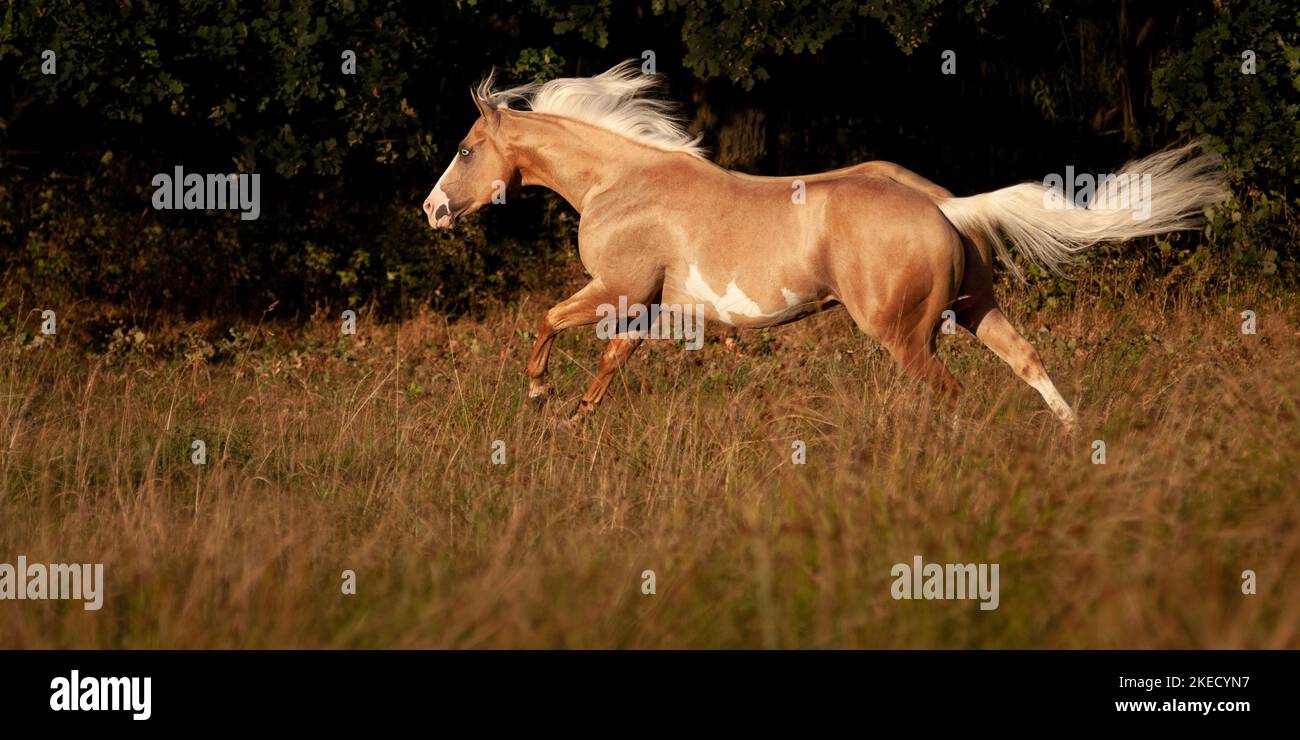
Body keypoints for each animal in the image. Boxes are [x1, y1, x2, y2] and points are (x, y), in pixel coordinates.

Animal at [422, 61, 1227, 428]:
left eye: (464, 149)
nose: (431, 211)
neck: (619, 181)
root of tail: (942, 205)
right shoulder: (647, 306)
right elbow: (612, 362)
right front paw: (576, 416)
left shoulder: (616, 288)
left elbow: (548, 321)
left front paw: (538, 394)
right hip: (974, 306)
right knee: (1027, 360)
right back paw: (1074, 439)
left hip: (904, 334)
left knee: (954, 393)